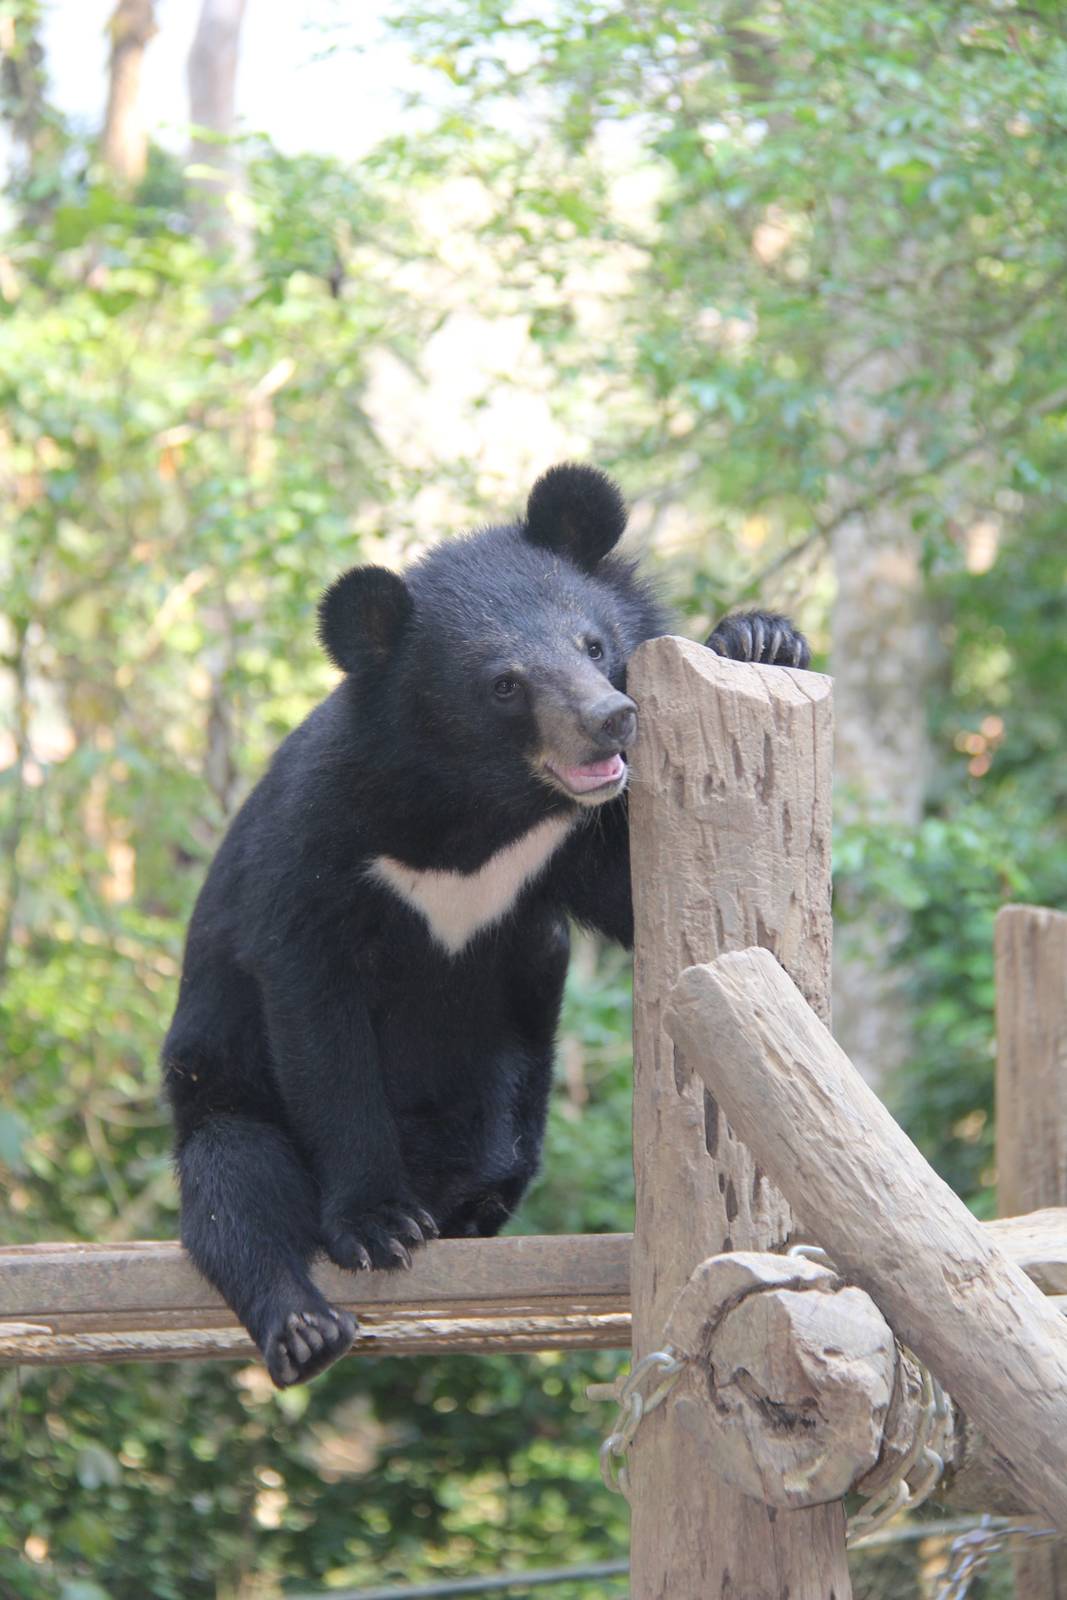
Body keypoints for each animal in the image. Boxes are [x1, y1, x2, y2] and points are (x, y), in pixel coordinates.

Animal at [163, 464, 809, 1387]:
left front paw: (759, 636)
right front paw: (379, 1226)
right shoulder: (316, 845)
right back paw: (305, 1326)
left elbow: (642, 902)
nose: (610, 719)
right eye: (505, 685)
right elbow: (320, 1026)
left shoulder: (573, 846)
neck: (481, 808)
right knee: (236, 1189)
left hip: (502, 1102)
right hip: (222, 1090)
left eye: (592, 645)